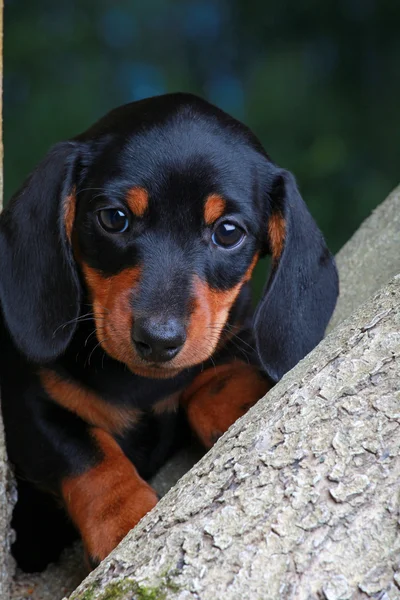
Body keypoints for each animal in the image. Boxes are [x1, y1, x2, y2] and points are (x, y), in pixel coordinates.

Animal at [0, 91, 340, 568]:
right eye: (114, 218)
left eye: (228, 232)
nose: (159, 340)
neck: (139, 384)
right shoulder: (27, 401)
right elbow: (85, 451)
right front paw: (122, 519)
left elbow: (218, 380)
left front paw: (241, 406)